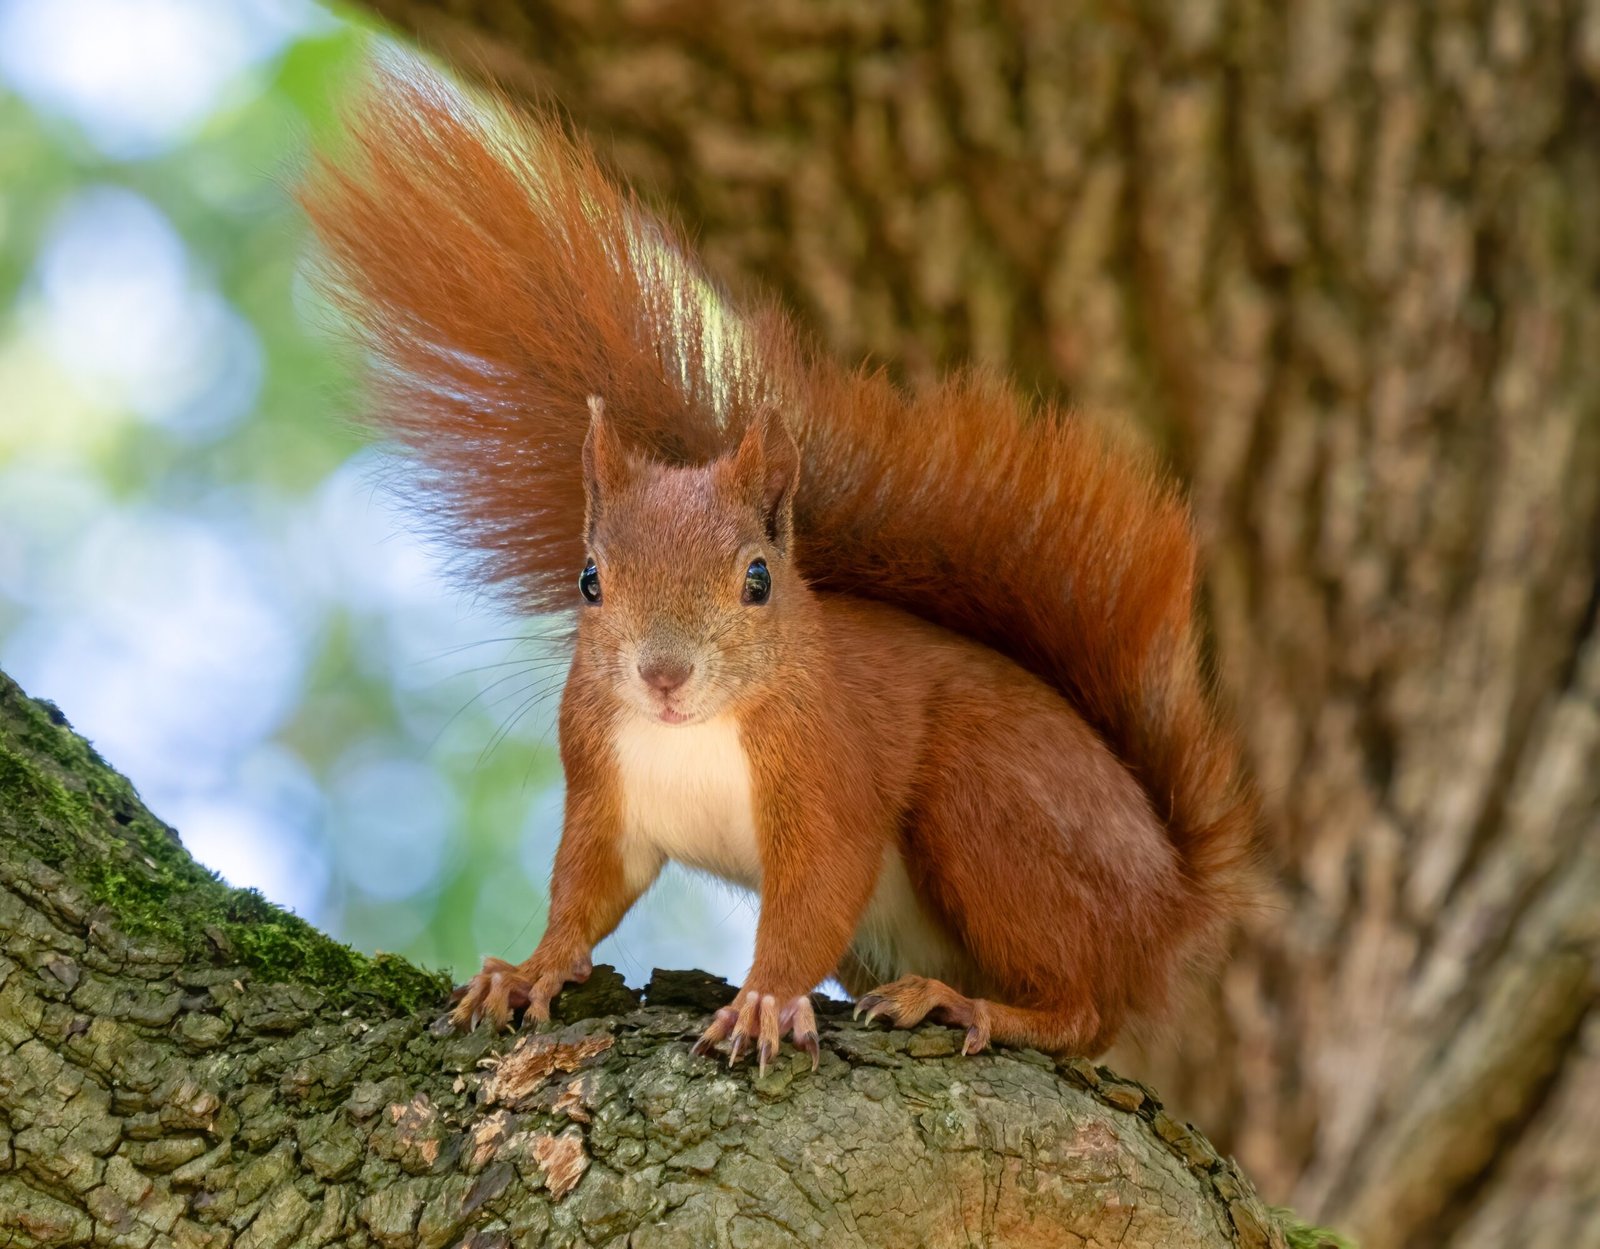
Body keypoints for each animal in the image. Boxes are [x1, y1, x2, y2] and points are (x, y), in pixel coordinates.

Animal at [301, 60, 1261, 1069]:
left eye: (758, 579)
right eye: (590, 580)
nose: (664, 675)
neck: (693, 733)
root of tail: (1169, 899)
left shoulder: (830, 769)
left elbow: (814, 895)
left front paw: (762, 999)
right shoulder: (604, 782)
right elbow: (585, 890)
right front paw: (527, 970)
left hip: (992, 812)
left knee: (1086, 1012)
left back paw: (967, 1004)